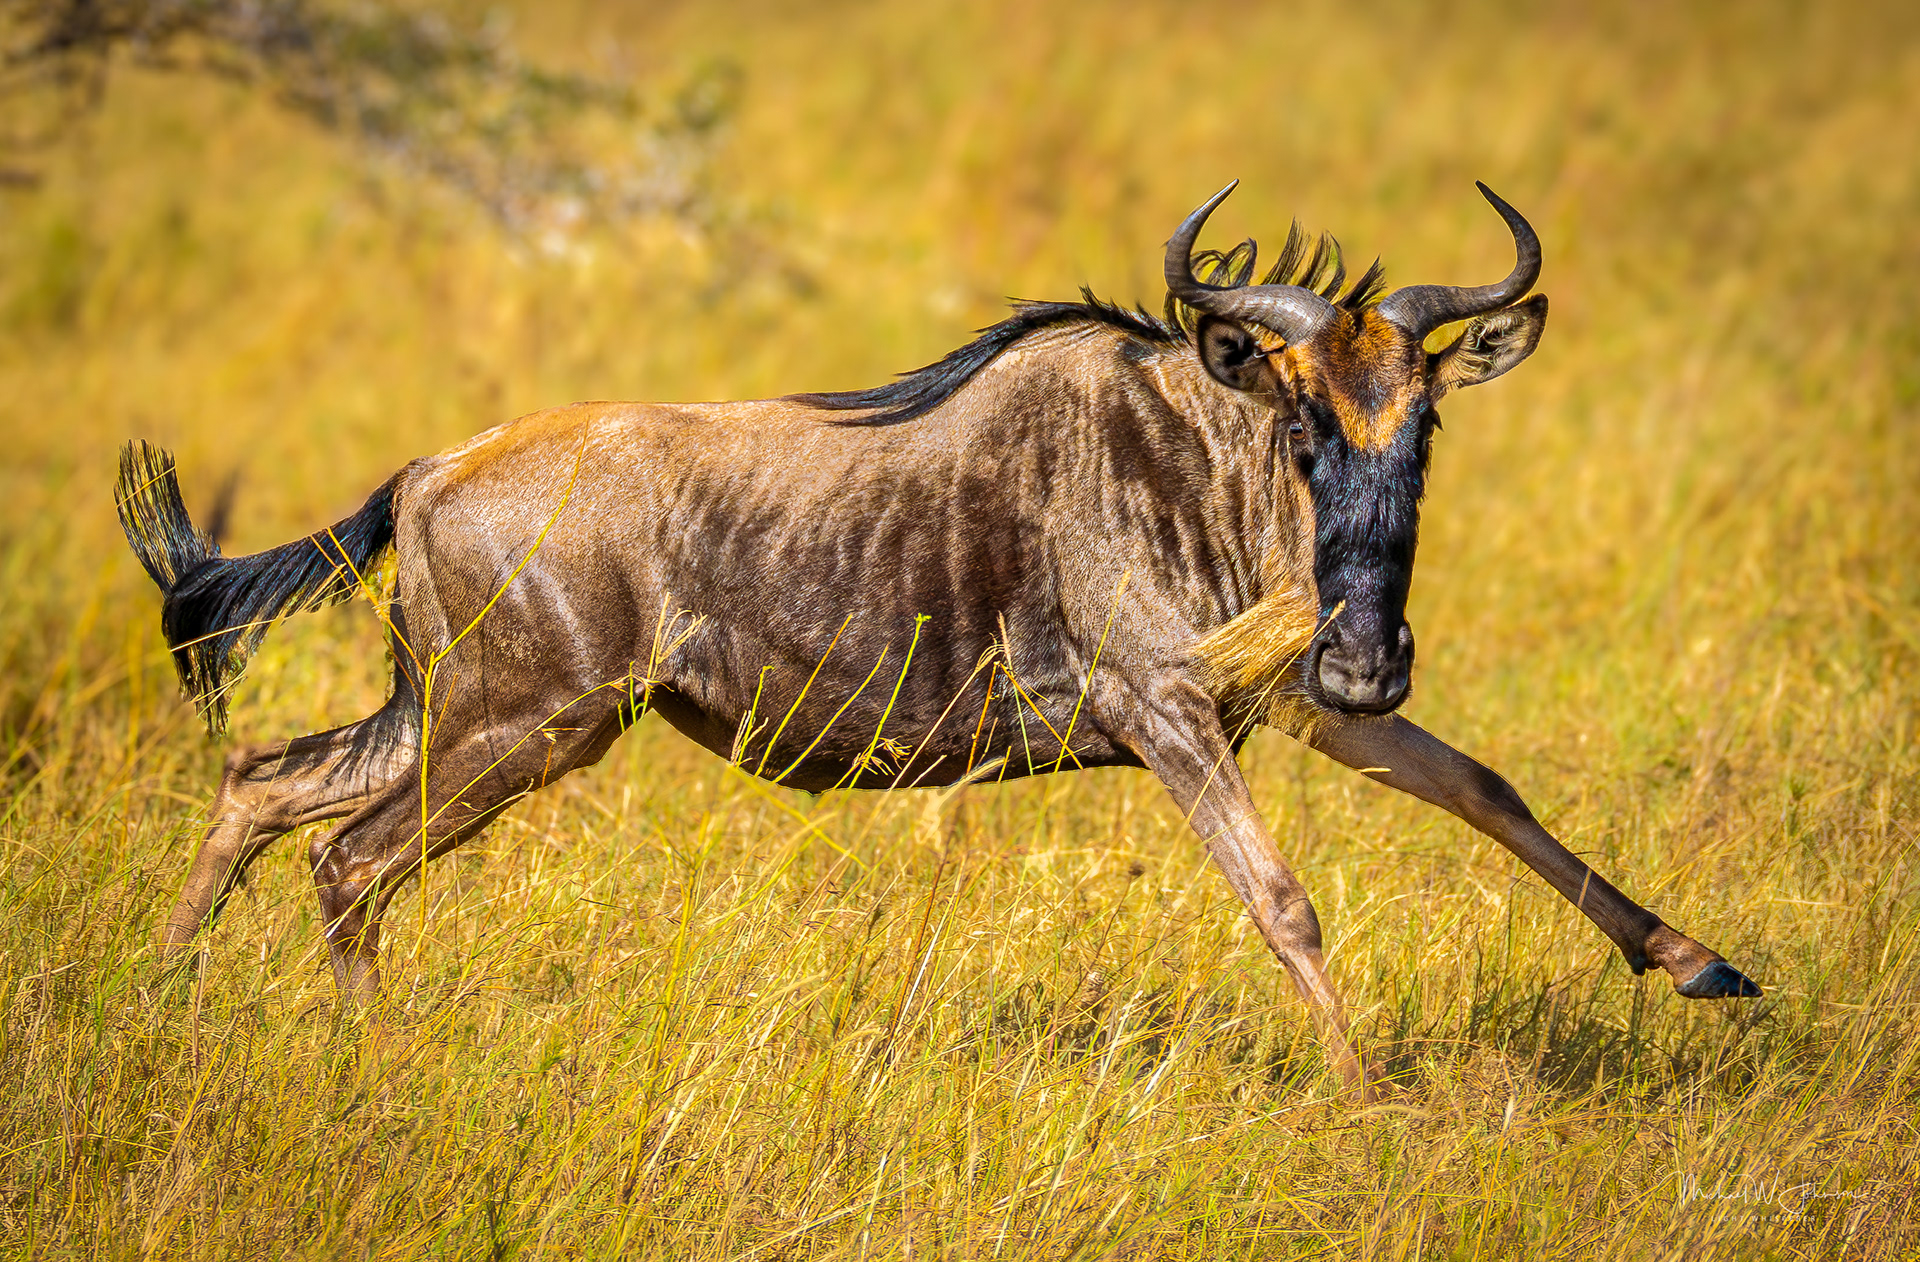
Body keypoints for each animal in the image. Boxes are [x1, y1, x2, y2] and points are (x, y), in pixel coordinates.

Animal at [117, 182, 1759, 1098]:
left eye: (1423, 423)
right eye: (1298, 421)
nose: (1371, 649)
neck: (1190, 454)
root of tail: (424, 471)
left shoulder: (1295, 703)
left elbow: (1490, 789)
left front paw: (1698, 964)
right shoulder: (1169, 713)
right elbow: (1285, 898)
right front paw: (1373, 1096)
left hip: (454, 712)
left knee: (264, 783)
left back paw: (158, 992)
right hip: (525, 726)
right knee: (349, 859)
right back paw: (372, 1067)